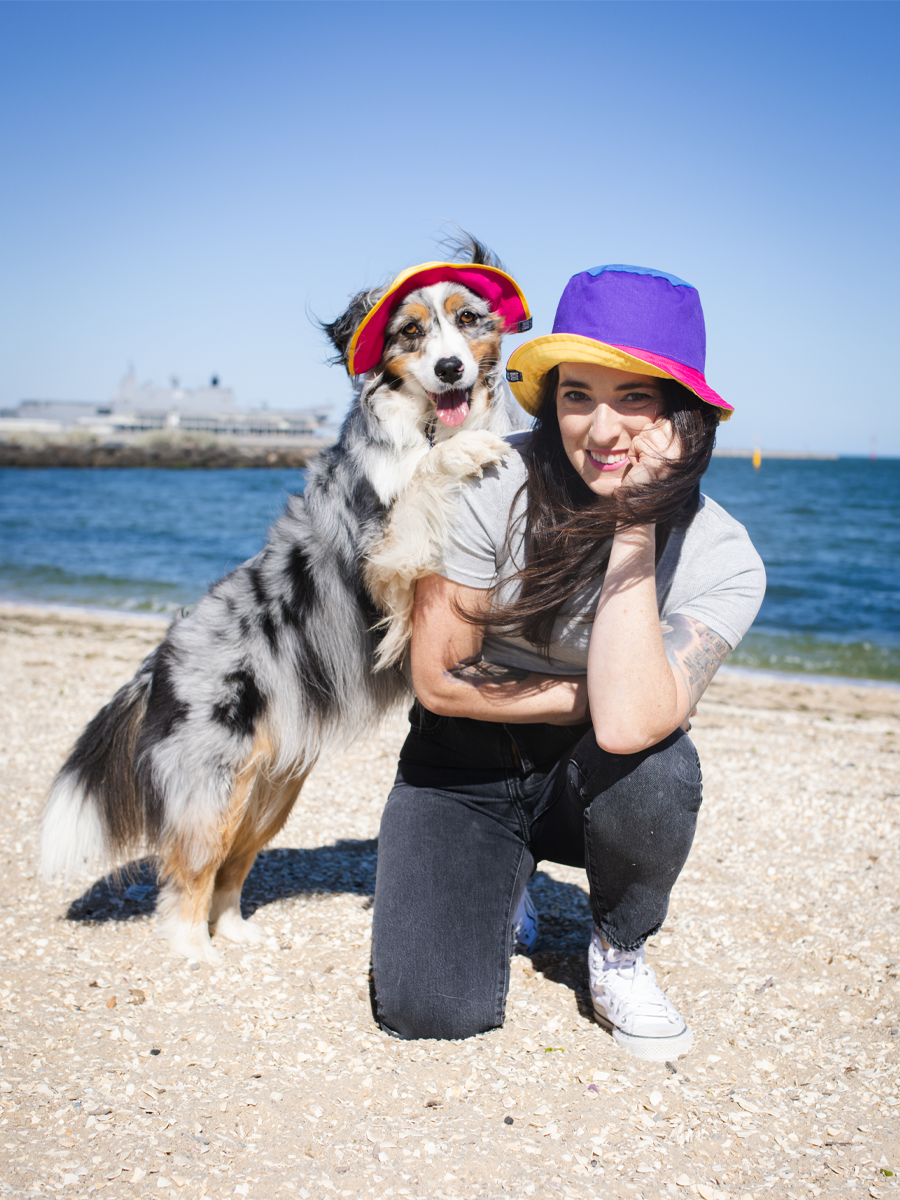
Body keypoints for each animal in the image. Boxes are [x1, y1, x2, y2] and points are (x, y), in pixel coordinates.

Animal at [42, 238, 532, 960]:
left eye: (468, 319)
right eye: (411, 332)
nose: (449, 369)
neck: (428, 426)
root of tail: (158, 659)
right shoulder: (384, 562)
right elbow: (420, 486)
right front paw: (464, 451)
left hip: (271, 790)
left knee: (231, 865)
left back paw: (238, 933)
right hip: (213, 782)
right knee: (187, 868)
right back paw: (193, 949)